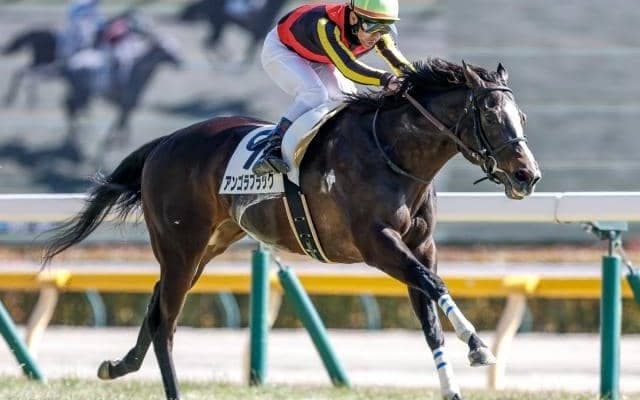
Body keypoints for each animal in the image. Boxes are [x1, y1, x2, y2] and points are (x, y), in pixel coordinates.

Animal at [42, 58, 541, 400]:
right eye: (492, 116)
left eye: (522, 118)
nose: (527, 176)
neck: (393, 154)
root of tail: (165, 142)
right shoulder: (376, 244)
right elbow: (434, 285)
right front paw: (478, 345)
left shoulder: (421, 245)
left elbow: (430, 316)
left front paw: (453, 384)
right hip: (180, 246)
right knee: (166, 322)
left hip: (204, 246)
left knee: (154, 307)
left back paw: (117, 366)